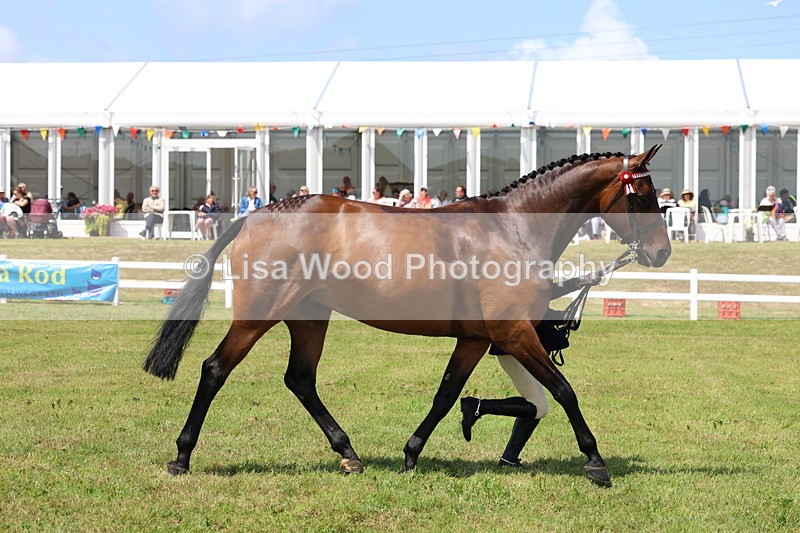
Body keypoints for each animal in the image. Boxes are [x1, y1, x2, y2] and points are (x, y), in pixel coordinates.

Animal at [144, 146, 671, 487]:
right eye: (644, 196)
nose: (661, 253)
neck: (513, 227)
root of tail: (258, 213)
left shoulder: (476, 339)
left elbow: (446, 395)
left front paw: (412, 454)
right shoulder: (514, 332)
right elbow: (564, 391)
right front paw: (595, 462)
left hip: (309, 317)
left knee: (301, 380)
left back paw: (349, 454)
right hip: (259, 314)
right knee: (215, 369)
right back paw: (182, 456)